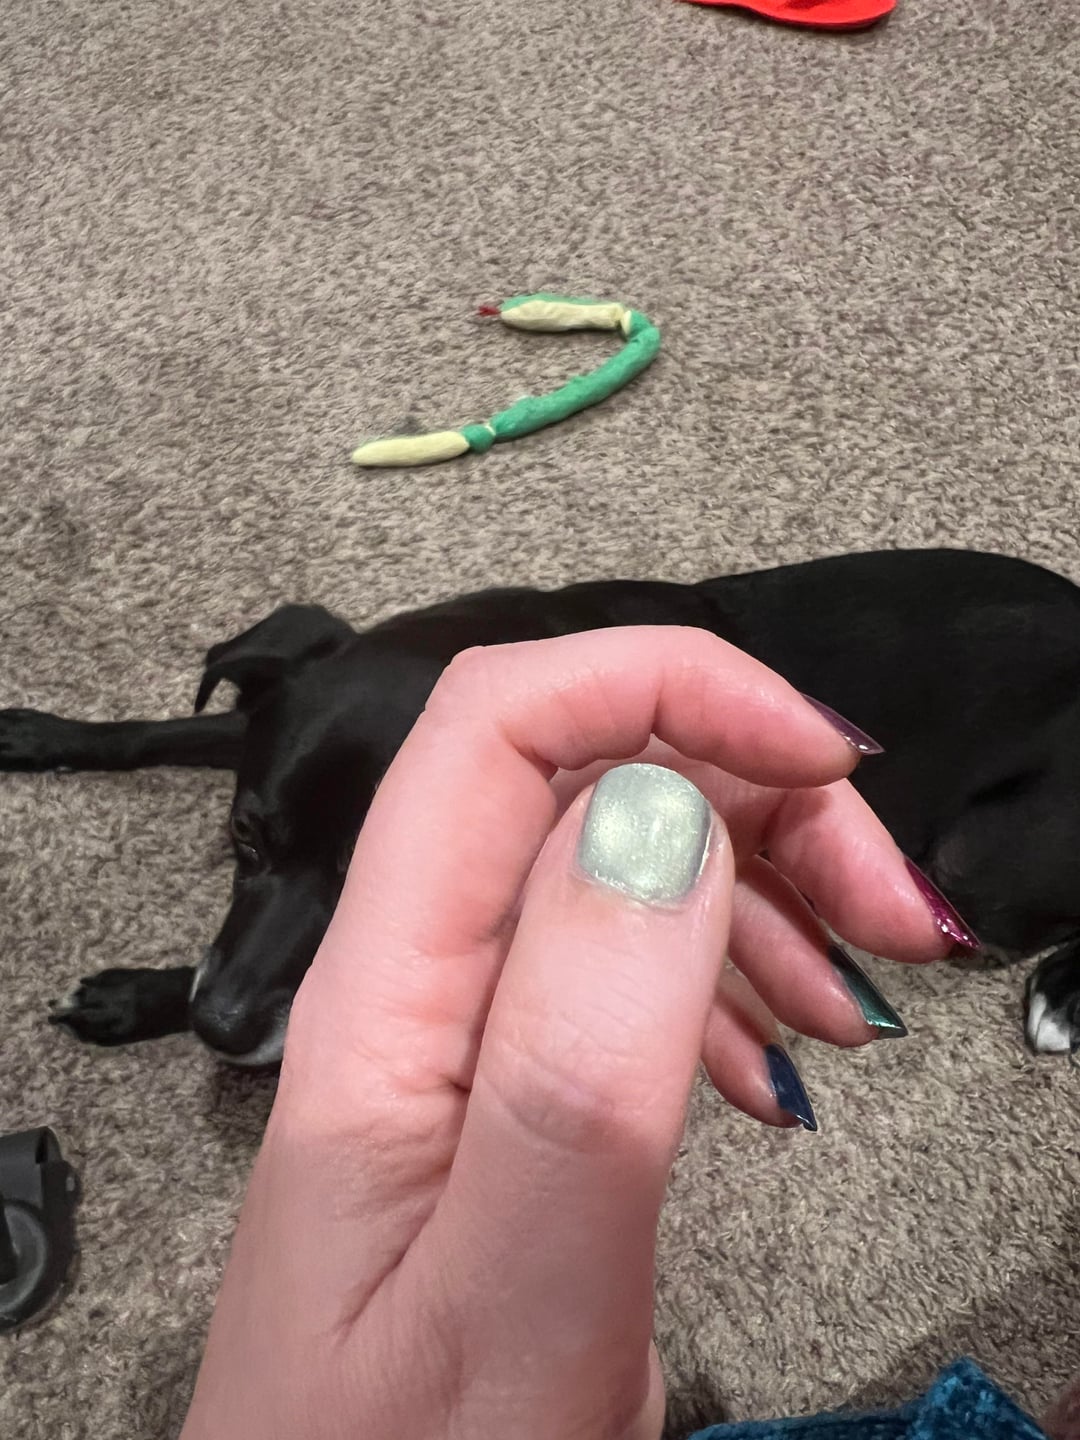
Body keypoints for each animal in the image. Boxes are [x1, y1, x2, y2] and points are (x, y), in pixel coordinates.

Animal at [3, 547, 1080, 1066]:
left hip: (976, 863)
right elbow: (163, 729)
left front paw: (141, 997)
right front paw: (36, 734)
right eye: (243, 838)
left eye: (389, 880)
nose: (219, 1028)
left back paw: (1062, 996)